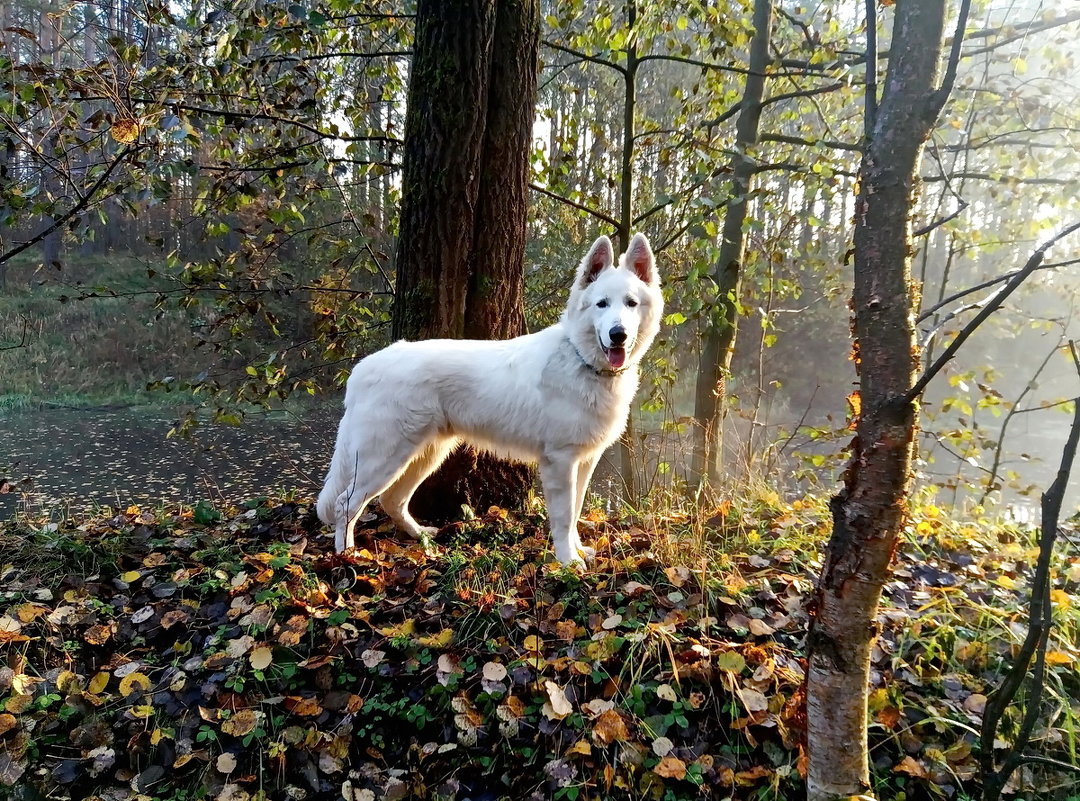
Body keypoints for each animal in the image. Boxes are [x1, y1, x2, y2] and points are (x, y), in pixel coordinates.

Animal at [315, 235, 660, 569]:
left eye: (631, 303)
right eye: (601, 304)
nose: (618, 334)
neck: (580, 359)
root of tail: (363, 367)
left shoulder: (585, 460)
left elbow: (575, 513)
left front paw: (578, 551)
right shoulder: (560, 462)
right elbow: (563, 518)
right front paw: (567, 562)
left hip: (425, 454)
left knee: (392, 501)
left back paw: (422, 539)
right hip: (384, 457)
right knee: (346, 503)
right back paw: (347, 555)